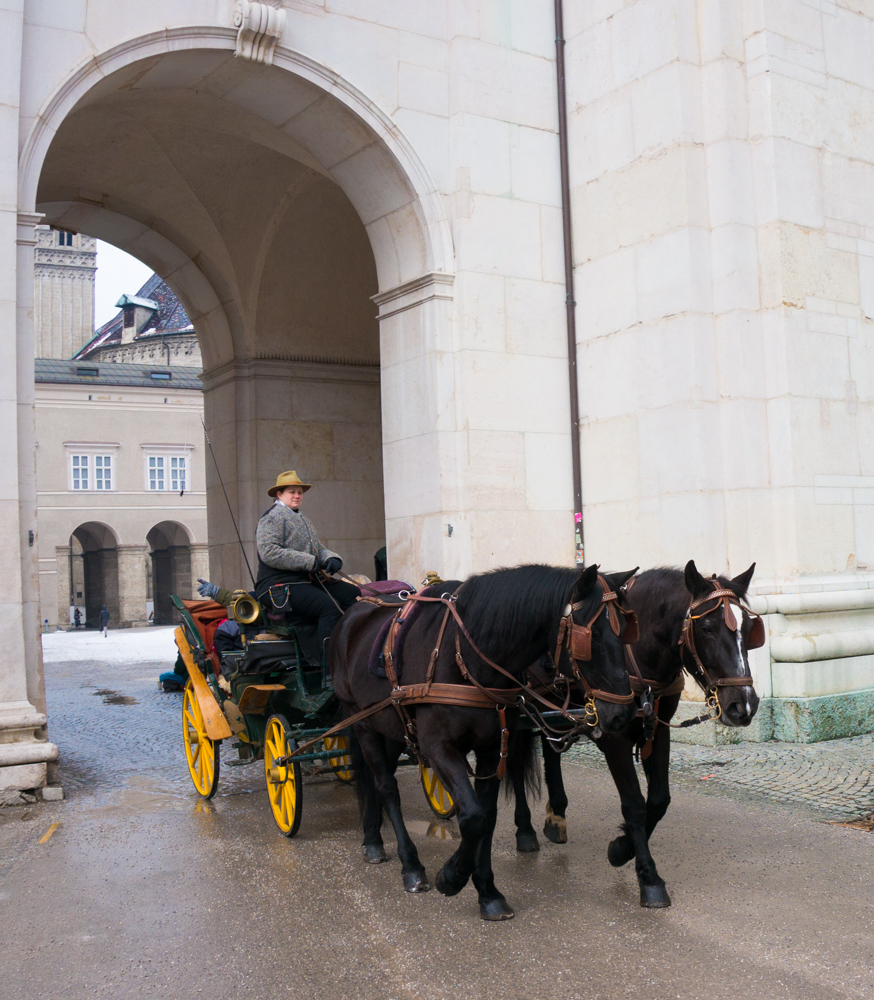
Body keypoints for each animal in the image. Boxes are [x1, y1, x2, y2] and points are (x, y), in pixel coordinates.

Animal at [330, 564, 636, 920]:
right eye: (593, 636)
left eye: (626, 632)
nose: (623, 713)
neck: (463, 655)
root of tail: (352, 614)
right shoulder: (439, 748)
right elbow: (472, 817)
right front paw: (452, 876)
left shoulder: (492, 748)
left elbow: (485, 818)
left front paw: (487, 891)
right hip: (362, 722)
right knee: (385, 787)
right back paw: (408, 863)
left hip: (391, 728)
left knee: (377, 782)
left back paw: (373, 837)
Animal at [508, 560, 760, 912]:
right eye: (708, 628)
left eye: (749, 630)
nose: (743, 705)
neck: (634, 653)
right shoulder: (613, 737)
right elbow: (634, 804)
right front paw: (648, 877)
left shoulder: (659, 729)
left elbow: (658, 801)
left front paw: (621, 847)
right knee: (515, 762)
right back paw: (524, 829)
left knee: (550, 745)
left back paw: (556, 815)